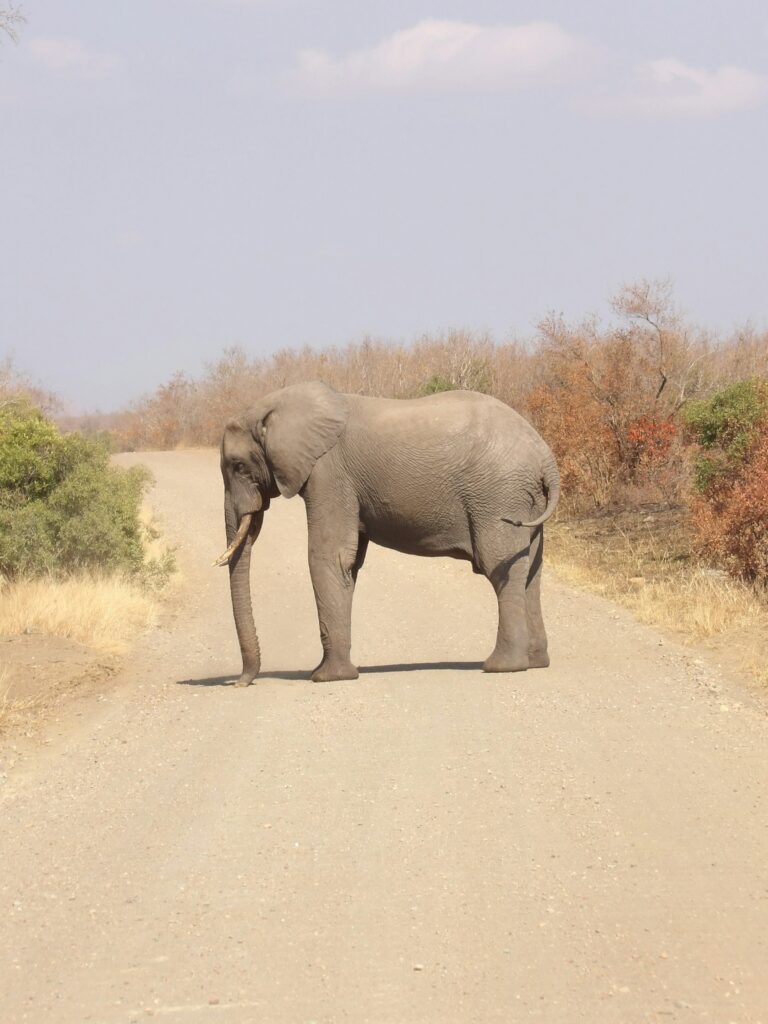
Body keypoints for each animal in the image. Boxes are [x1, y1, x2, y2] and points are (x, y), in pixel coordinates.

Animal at [215, 381, 560, 686]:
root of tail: (546, 459)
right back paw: (535, 662)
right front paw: (327, 672)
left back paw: (502, 666)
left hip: (499, 496)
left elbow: (327, 556)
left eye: (238, 466)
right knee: (531, 572)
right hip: (524, 500)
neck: (274, 406)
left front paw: (326, 678)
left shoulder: (328, 473)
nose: (240, 683)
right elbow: (349, 562)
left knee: (500, 569)